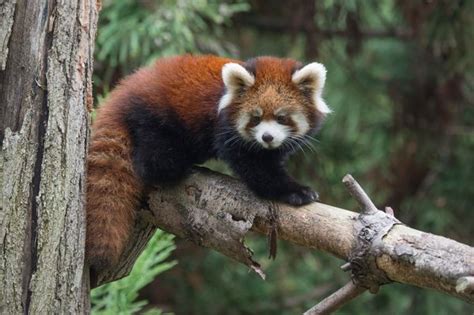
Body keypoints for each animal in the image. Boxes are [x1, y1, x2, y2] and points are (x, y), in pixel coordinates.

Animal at [86, 54, 330, 274]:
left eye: (281, 118)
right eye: (256, 118)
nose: (267, 137)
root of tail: (125, 89)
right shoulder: (226, 132)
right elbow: (257, 170)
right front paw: (295, 191)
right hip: (155, 116)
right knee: (155, 160)